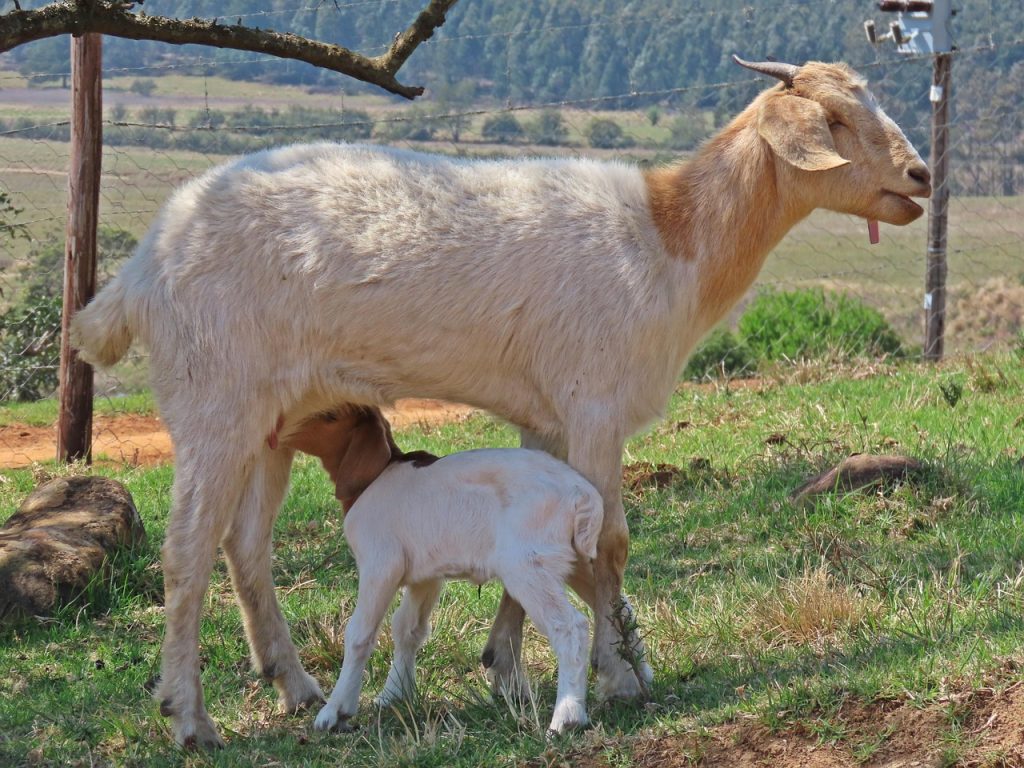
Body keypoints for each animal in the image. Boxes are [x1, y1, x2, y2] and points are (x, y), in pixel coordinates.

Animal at [289, 410, 602, 735]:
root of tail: (582, 494)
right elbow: (407, 628)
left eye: (330, 416)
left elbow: (359, 633)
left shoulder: (381, 564)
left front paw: (334, 711)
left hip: (528, 564)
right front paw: (394, 694)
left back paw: (567, 716)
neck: (378, 477)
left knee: (570, 626)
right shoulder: (424, 577)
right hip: (576, 562)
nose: (284, 433)